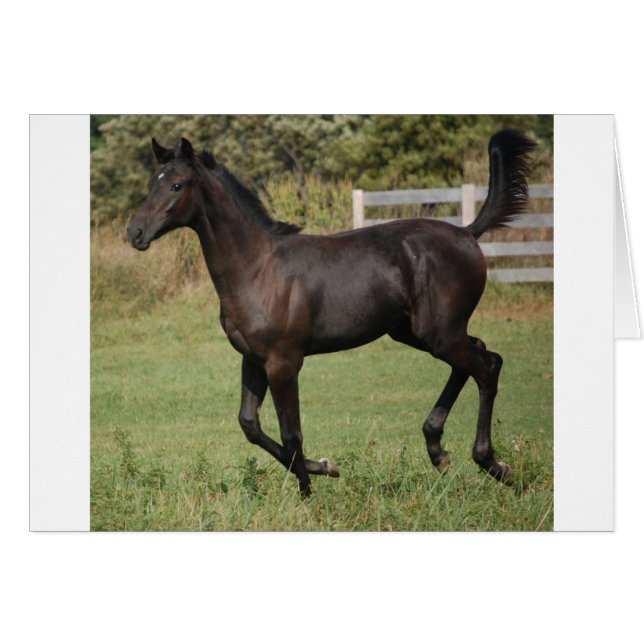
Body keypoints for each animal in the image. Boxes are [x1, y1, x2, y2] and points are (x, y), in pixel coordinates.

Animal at [127, 130, 535, 496]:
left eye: (177, 185)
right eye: (151, 184)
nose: (135, 232)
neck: (258, 269)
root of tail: (468, 233)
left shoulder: (284, 362)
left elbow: (291, 433)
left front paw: (310, 493)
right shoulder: (254, 359)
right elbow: (250, 425)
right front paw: (324, 467)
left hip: (439, 334)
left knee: (487, 366)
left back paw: (493, 464)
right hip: (417, 332)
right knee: (479, 356)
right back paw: (439, 451)